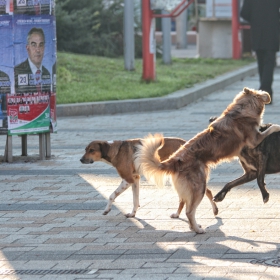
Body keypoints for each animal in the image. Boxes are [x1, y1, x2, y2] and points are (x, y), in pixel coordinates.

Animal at [79, 137, 219, 218]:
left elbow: (112, 195)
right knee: (192, 196)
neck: (115, 150)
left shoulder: (127, 179)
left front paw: (107, 209)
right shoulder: (135, 179)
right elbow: (135, 200)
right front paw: (133, 213)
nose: (80, 160)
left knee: (202, 193)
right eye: (85, 149)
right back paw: (178, 214)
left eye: (91, 150)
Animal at [136, 88, 280, 234]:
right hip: (199, 186)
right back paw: (198, 229)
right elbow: (271, 128)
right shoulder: (255, 139)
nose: (268, 95)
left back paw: (195, 226)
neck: (240, 110)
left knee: (187, 204)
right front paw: (277, 126)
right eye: (261, 92)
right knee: (189, 211)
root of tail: (175, 160)